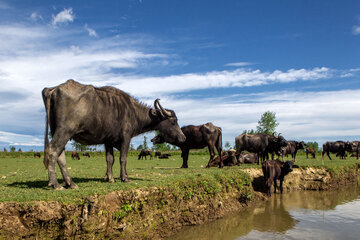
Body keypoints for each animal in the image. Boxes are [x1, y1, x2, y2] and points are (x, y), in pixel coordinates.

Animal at [42, 79, 186, 189]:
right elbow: (123, 158)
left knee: (60, 155)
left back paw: (70, 183)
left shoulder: (108, 141)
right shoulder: (126, 137)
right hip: (65, 131)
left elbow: (110, 159)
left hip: (56, 131)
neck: (133, 113)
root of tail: (53, 89)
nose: (183, 137)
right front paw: (124, 178)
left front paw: (109, 178)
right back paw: (55, 184)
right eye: (173, 121)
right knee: (53, 151)